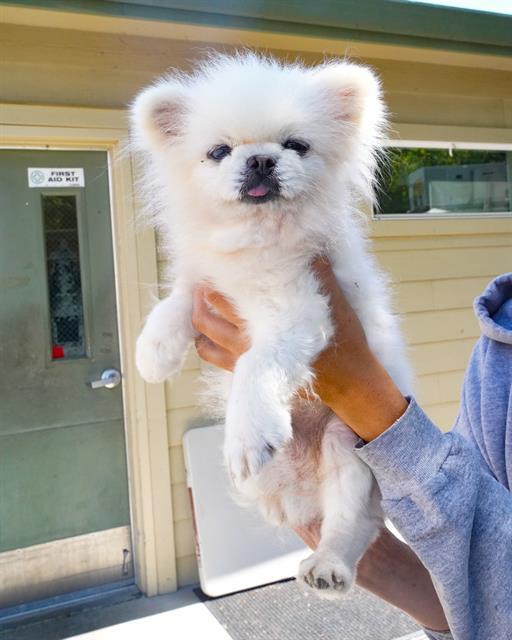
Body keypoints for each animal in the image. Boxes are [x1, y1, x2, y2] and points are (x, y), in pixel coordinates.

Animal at [131, 52, 412, 596]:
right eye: (219, 152)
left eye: (296, 146)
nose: (260, 159)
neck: (257, 236)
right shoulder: (206, 282)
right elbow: (175, 302)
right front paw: (153, 353)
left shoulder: (299, 309)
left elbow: (257, 365)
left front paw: (248, 432)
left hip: (348, 447)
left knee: (355, 521)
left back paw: (330, 565)